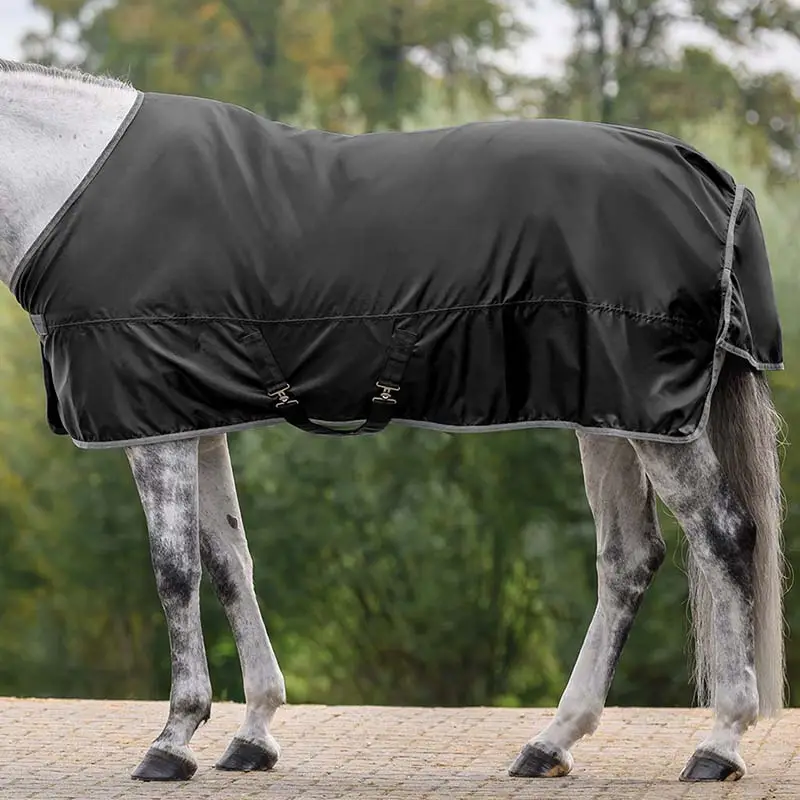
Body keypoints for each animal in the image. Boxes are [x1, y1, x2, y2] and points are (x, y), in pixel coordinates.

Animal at [0, 59, 786, 784]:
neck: (72, 179)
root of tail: (713, 179)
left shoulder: (157, 429)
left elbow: (175, 571)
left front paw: (173, 740)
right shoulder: (197, 420)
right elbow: (230, 564)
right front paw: (253, 734)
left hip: (656, 422)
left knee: (723, 534)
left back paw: (719, 744)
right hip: (610, 416)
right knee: (628, 558)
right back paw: (550, 743)